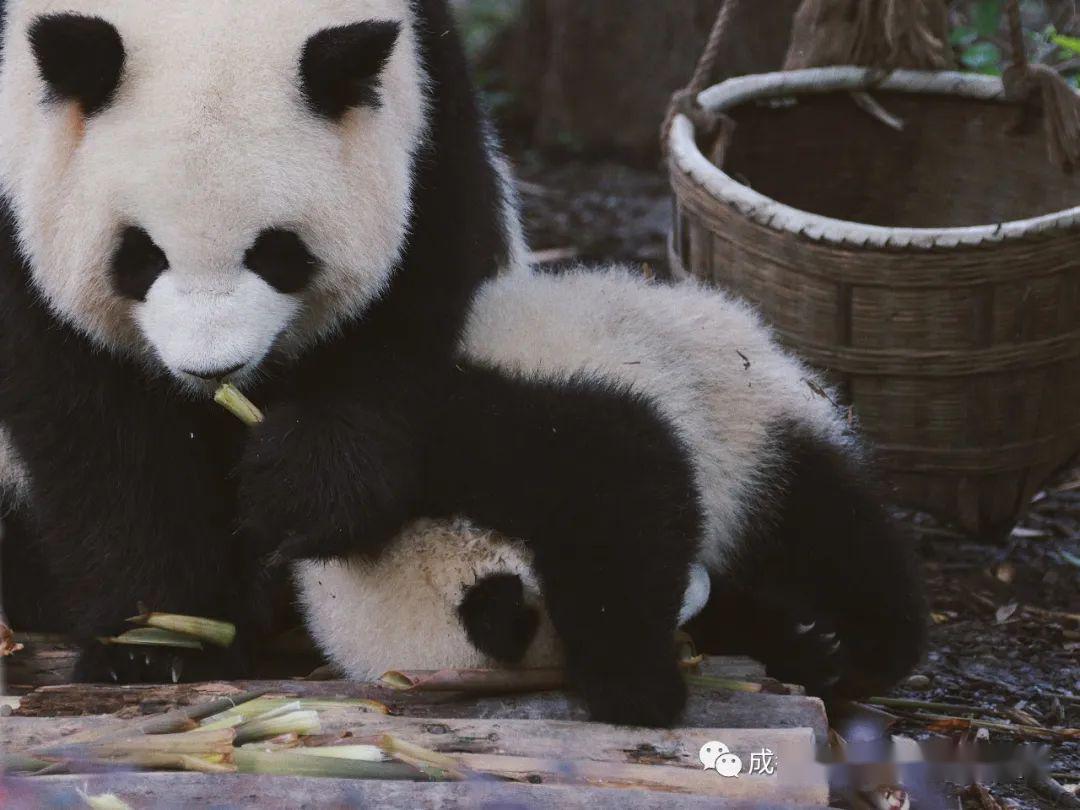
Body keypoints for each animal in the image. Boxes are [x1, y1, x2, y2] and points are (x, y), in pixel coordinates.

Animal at [0, 1, 524, 686]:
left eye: (276, 252)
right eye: (141, 255)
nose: (213, 368)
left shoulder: (429, 113)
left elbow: (397, 321)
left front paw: (301, 494)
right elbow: (94, 426)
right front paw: (157, 641)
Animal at [300, 267, 933, 730]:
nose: (693, 597)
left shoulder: (473, 427)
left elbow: (621, 502)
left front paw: (636, 690)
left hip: (747, 425)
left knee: (825, 525)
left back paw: (876, 644)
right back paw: (805, 645)